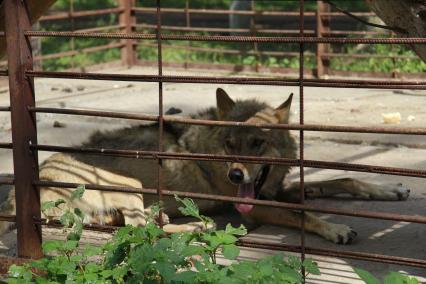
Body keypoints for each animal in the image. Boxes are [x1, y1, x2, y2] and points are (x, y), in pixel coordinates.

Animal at [0, 89, 412, 244]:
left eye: (257, 144)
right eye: (230, 145)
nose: (235, 175)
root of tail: (14, 200)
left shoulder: (273, 189)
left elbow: (343, 178)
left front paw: (391, 189)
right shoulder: (257, 206)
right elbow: (302, 214)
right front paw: (335, 228)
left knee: (142, 225)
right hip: (130, 186)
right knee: (140, 230)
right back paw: (198, 225)